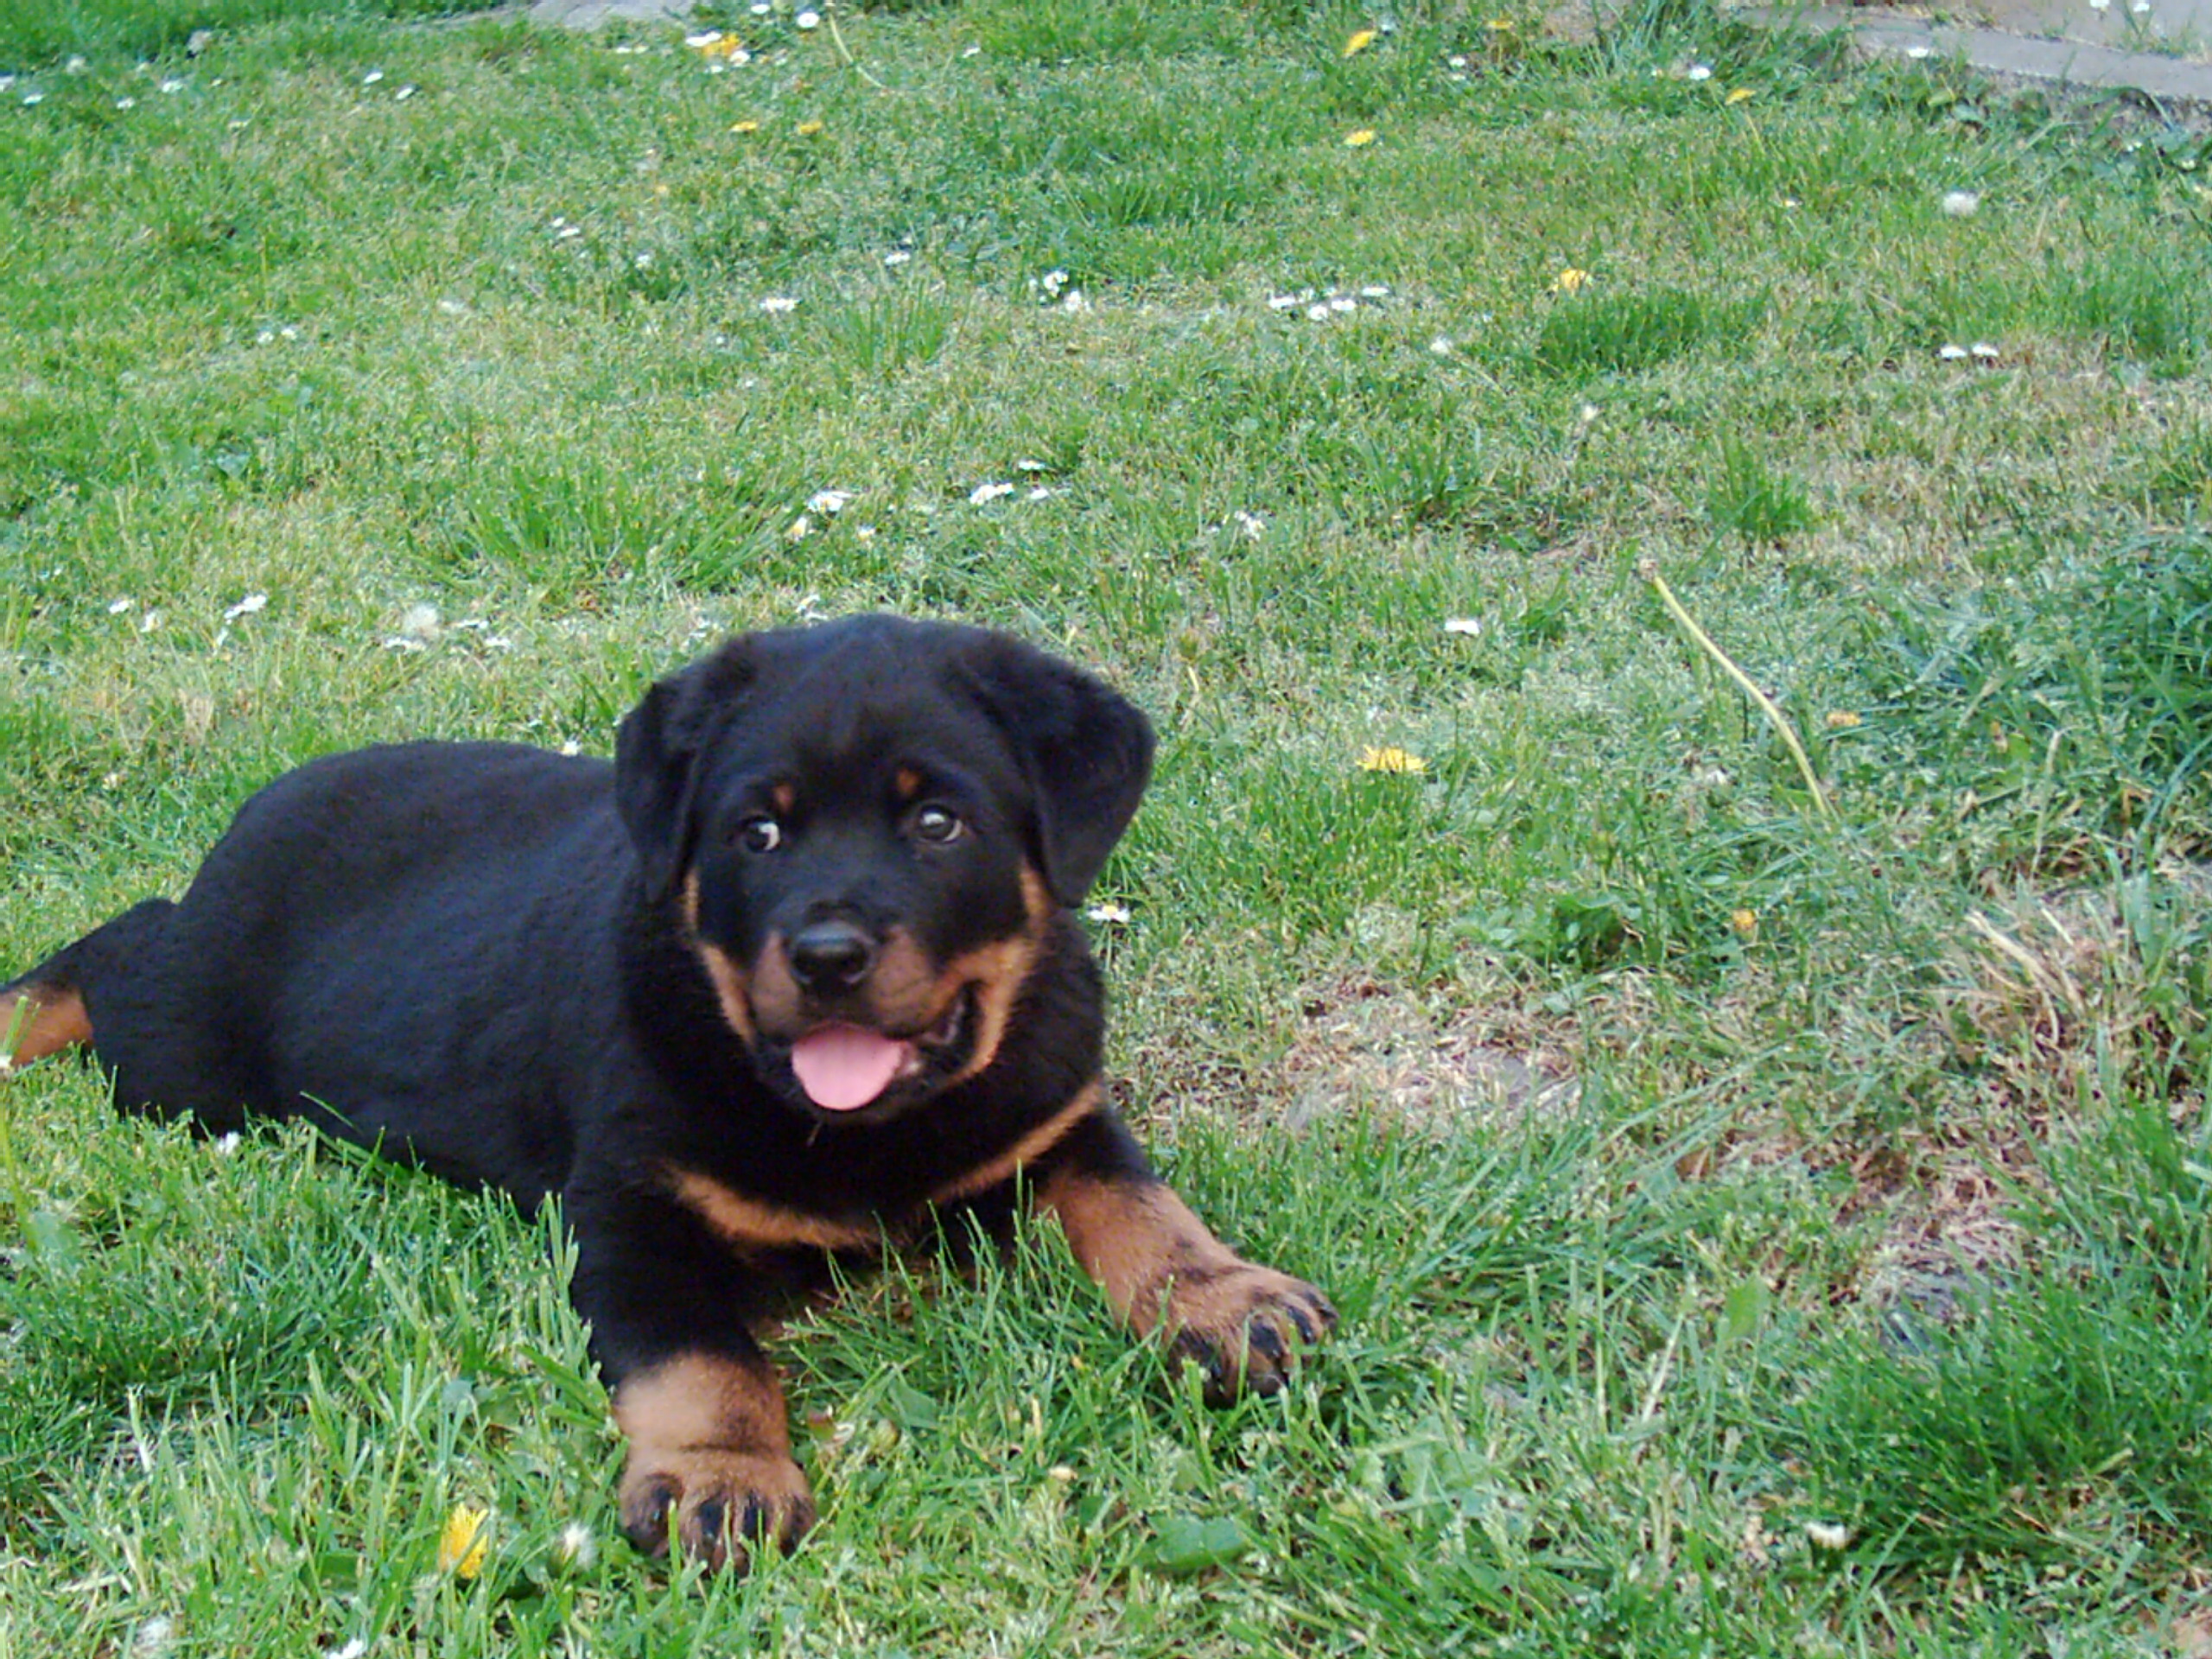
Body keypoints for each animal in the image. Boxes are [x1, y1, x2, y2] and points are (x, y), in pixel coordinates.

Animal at [1, 614, 1333, 1571]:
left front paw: (1223, 1301)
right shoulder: (630, 1206)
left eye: (937, 822)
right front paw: (719, 1478)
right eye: (758, 833)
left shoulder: (1056, 1110)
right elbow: (700, 1355)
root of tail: (249, 816)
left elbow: (1139, 1202)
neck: (868, 1127)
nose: (828, 956)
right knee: (117, 948)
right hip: (187, 1062)